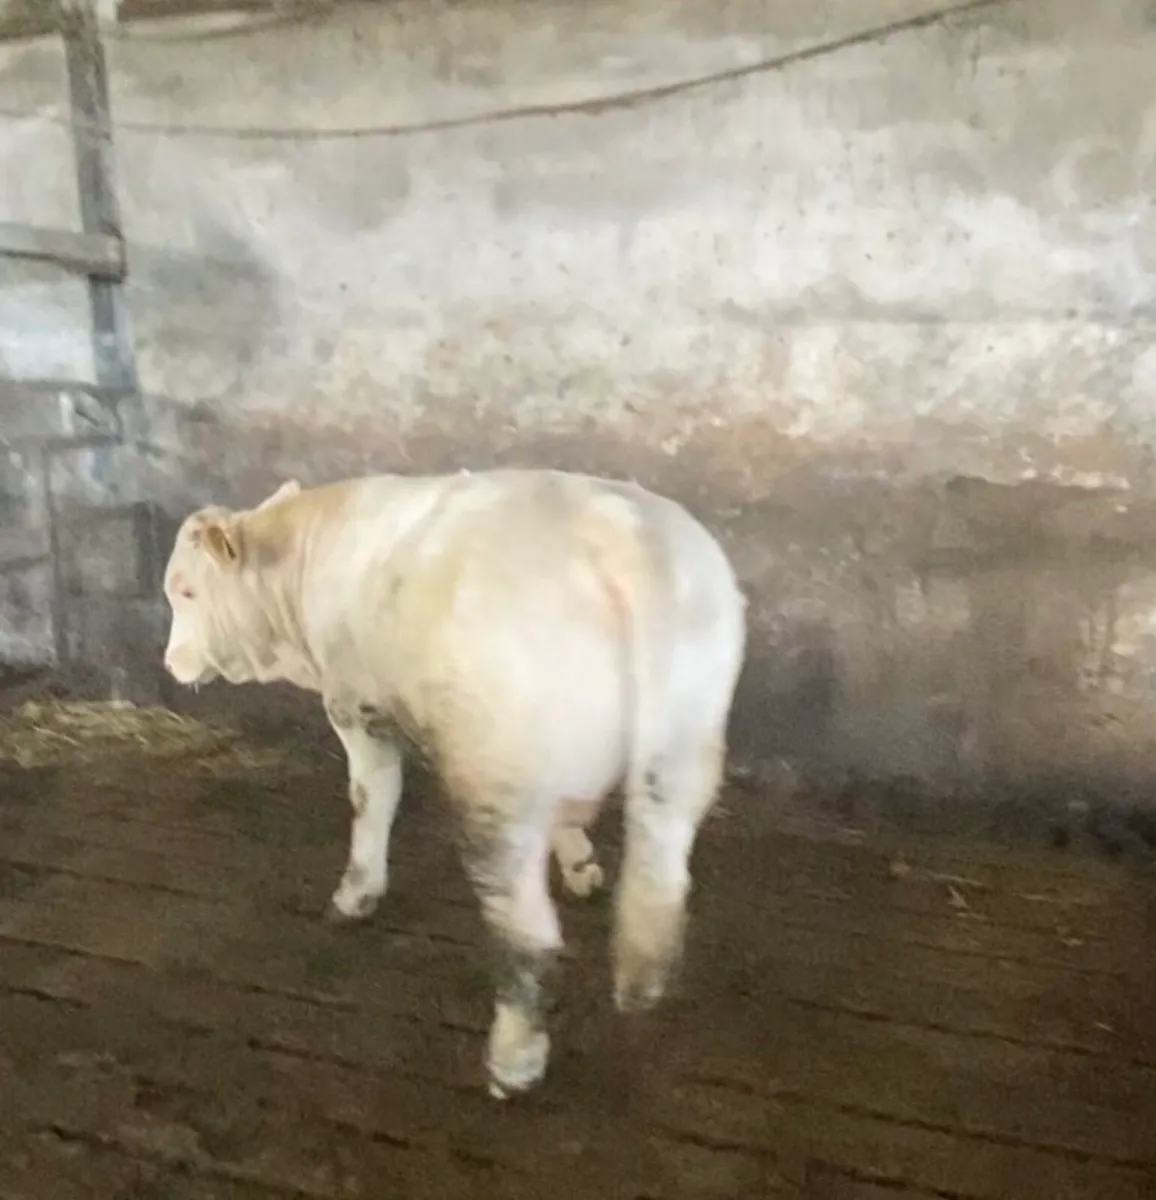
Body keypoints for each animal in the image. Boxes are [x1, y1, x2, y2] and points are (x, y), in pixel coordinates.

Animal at [162, 468, 747, 1099]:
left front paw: (356, 892)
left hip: (496, 778)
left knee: (528, 931)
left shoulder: (356, 703)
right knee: (661, 882)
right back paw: (642, 986)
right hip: (679, 745)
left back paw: (513, 1058)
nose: (170, 663)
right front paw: (581, 864)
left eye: (187, 591)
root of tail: (621, 532)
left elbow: (372, 796)